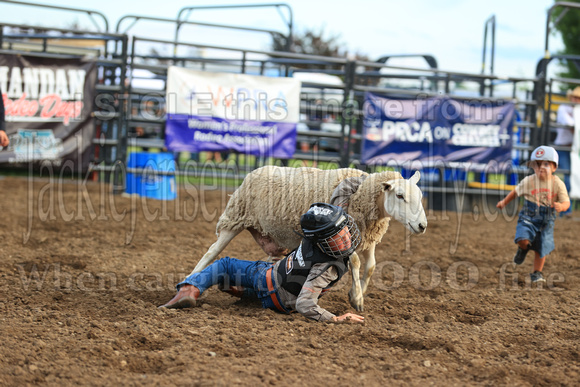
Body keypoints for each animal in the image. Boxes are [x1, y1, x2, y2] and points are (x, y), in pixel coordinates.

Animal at [190, 167, 426, 312]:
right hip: (235, 217)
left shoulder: (367, 238)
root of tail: (255, 170)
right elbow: (356, 262)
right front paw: (357, 298)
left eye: (421, 196)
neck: (361, 194)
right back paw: (192, 280)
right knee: (212, 252)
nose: (422, 226)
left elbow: (371, 267)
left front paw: (357, 293)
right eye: (400, 196)